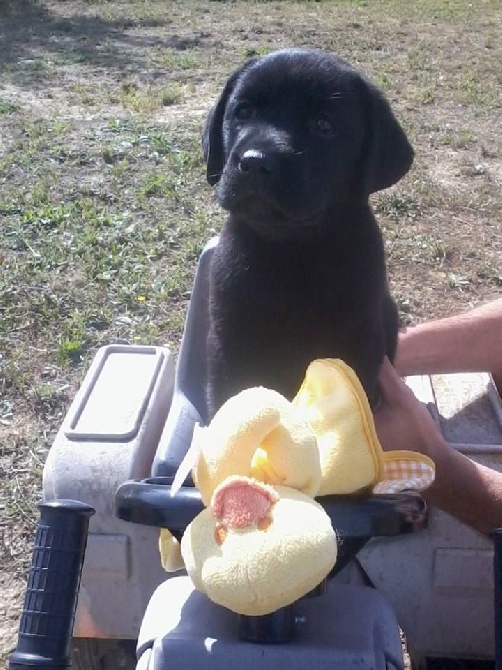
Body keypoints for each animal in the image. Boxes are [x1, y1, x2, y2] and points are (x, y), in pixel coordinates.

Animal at [202, 50, 414, 420]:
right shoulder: (227, 342)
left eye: (324, 126)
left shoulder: (358, 340)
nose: (255, 162)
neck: (292, 248)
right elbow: (228, 401)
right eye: (243, 112)